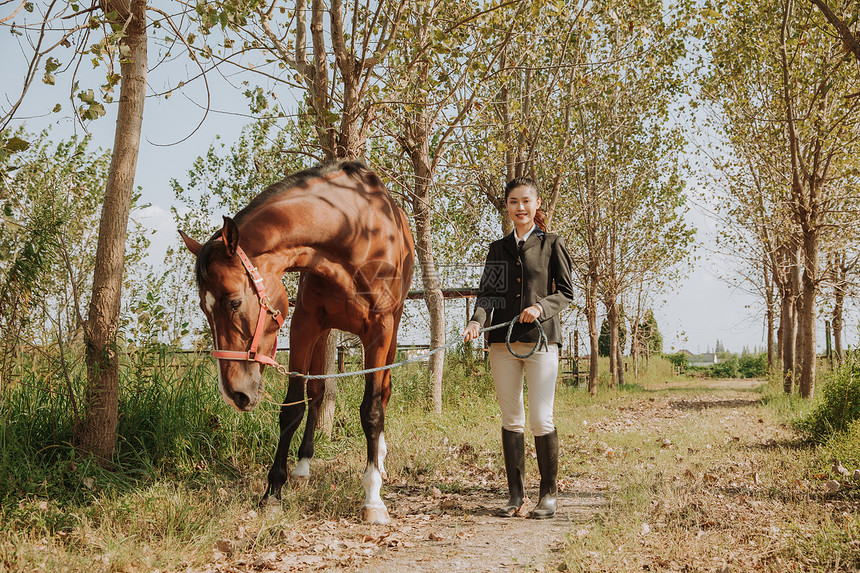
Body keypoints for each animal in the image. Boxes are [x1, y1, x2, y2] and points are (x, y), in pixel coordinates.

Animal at [180, 162, 414, 524]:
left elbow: (372, 409)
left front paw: (373, 498)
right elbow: (293, 407)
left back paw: (381, 459)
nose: (235, 394)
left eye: (234, 302)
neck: (355, 234)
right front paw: (273, 491)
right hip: (324, 333)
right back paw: (302, 468)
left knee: (383, 391)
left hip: (391, 331)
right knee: (317, 394)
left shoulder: (380, 329)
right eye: (205, 309)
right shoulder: (305, 324)